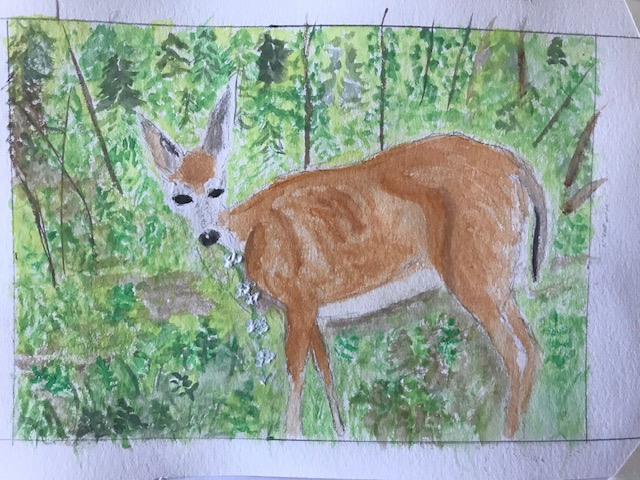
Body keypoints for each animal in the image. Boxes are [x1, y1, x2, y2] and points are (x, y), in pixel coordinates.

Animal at [140, 76, 547, 439]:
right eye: (180, 197)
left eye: (217, 189)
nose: (208, 235)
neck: (252, 229)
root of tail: (514, 163)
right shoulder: (314, 307)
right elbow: (326, 369)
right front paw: (341, 432)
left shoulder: (299, 297)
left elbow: (296, 372)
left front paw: (292, 434)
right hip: (497, 277)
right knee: (532, 348)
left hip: (474, 269)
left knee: (514, 355)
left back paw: (507, 434)